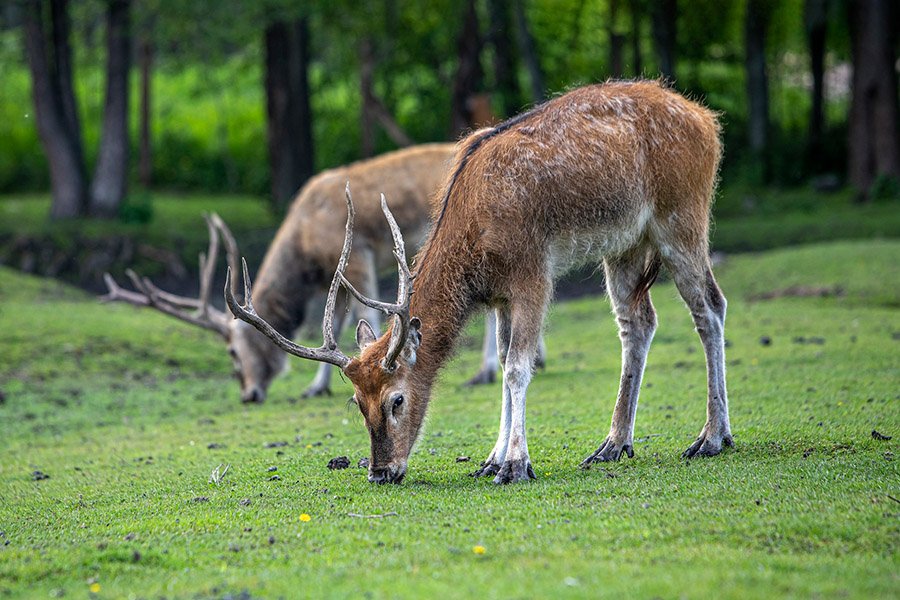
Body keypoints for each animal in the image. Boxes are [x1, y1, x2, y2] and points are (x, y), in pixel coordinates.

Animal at [102, 144, 536, 403]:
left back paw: (483, 372)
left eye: (232, 352)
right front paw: (316, 386)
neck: (306, 243)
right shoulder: (336, 274)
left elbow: (367, 315)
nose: (248, 394)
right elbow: (338, 325)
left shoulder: (357, 255)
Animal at [226, 80, 733, 484]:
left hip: (682, 216)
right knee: (638, 323)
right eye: (356, 403)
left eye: (396, 400)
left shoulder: (532, 274)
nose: (381, 472)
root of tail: (708, 120)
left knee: (711, 306)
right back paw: (613, 444)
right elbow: (505, 361)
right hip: (625, 244)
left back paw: (712, 437)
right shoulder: (500, 295)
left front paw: (515, 465)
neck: (476, 243)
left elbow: (517, 368)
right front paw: (491, 459)